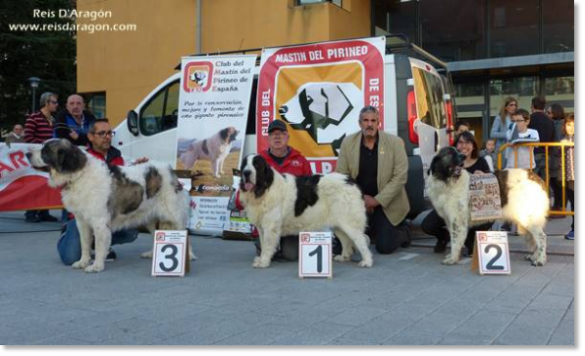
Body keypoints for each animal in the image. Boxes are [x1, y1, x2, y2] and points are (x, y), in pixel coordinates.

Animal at [28, 139, 194, 272]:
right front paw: (83, 262)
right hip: (150, 219)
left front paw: (96, 266)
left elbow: (99, 245)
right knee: (156, 235)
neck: (77, 175)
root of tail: (170, 170)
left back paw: (189, 256)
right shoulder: (81, 221)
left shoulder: (100, 222)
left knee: (185, 234)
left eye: (46, 150)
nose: (27, 154)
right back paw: (152, 254)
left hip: (175, 215)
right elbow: (85, 243)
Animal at [236, 154, 370, 268]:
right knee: (346, 240)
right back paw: (344, 257)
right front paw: (260, 259)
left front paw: (263, 262)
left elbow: (268, 245)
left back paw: (367, 261)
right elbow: (263, 245)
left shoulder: (270, 225)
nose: (246, 173)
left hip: (349, 222)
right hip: (338, 223)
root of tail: (351, 181)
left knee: (361, 240)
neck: (264, 189)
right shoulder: (262, 226)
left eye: (257, 165)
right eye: (244, 165)